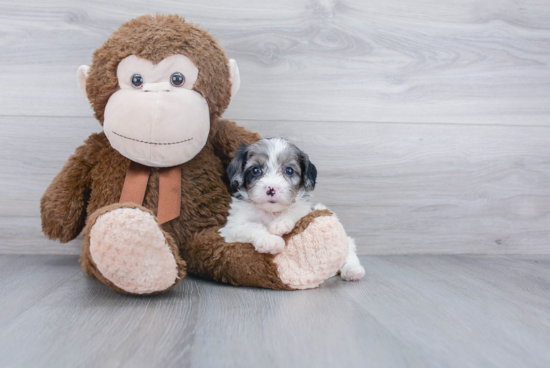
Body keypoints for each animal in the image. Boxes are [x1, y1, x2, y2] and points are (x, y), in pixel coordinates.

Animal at [220, 138, 366, 282]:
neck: (271, 212)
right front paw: (270, 240)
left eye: (289, 171)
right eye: (255, 170)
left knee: (349, 251)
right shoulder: (232, 226)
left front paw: (280, 223)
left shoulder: (306, 210)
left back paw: (353, 270)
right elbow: (251, 226)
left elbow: (296, 209)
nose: (271, 189)